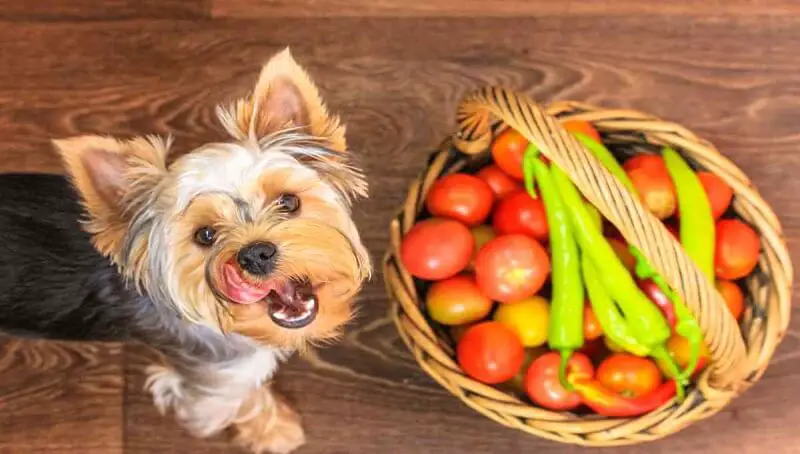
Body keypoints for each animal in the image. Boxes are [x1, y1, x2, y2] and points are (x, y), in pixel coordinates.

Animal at [0, 48, 372, 452]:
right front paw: (276, 432)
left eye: (288, 202)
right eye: (205, 235)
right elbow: (242, 398)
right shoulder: (215, 380)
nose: (255, 254)